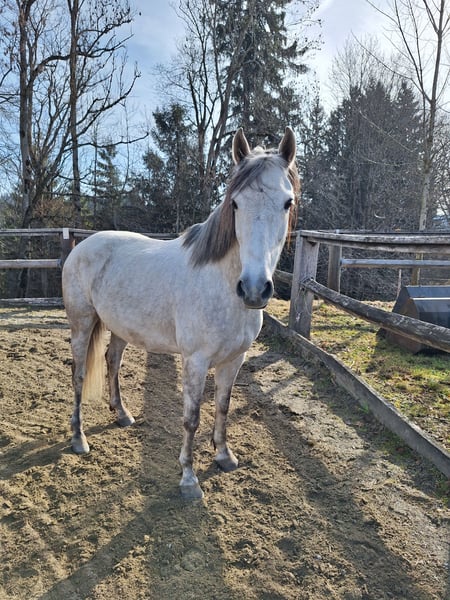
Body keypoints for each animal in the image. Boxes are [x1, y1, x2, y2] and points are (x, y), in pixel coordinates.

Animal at [62, 127, 299, 500]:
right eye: (235, 203)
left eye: (287, 202)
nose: (254, 289)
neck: (220, 285)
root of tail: (81, 246)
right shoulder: (196, 362)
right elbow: (191, 418)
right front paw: (189, 479)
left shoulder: (235, 360)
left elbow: (222, 406)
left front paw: (224, 456)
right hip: (82, 325)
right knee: (79, 375)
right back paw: (78, 439)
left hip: (120, 328)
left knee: (112, 362)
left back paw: (123, 415)